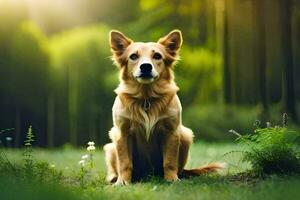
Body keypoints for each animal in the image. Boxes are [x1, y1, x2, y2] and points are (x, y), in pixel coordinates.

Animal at [104, 29, 224, 186]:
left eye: (157, 56)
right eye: (133, 56)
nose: (146, 66)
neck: (146, 98)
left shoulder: (171, 132)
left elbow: (169, 161)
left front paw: (172, 179)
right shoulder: (122, 133)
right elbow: (125, 163)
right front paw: (123, 182)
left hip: (185, 136)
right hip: (111, 146)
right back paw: (114, 177)